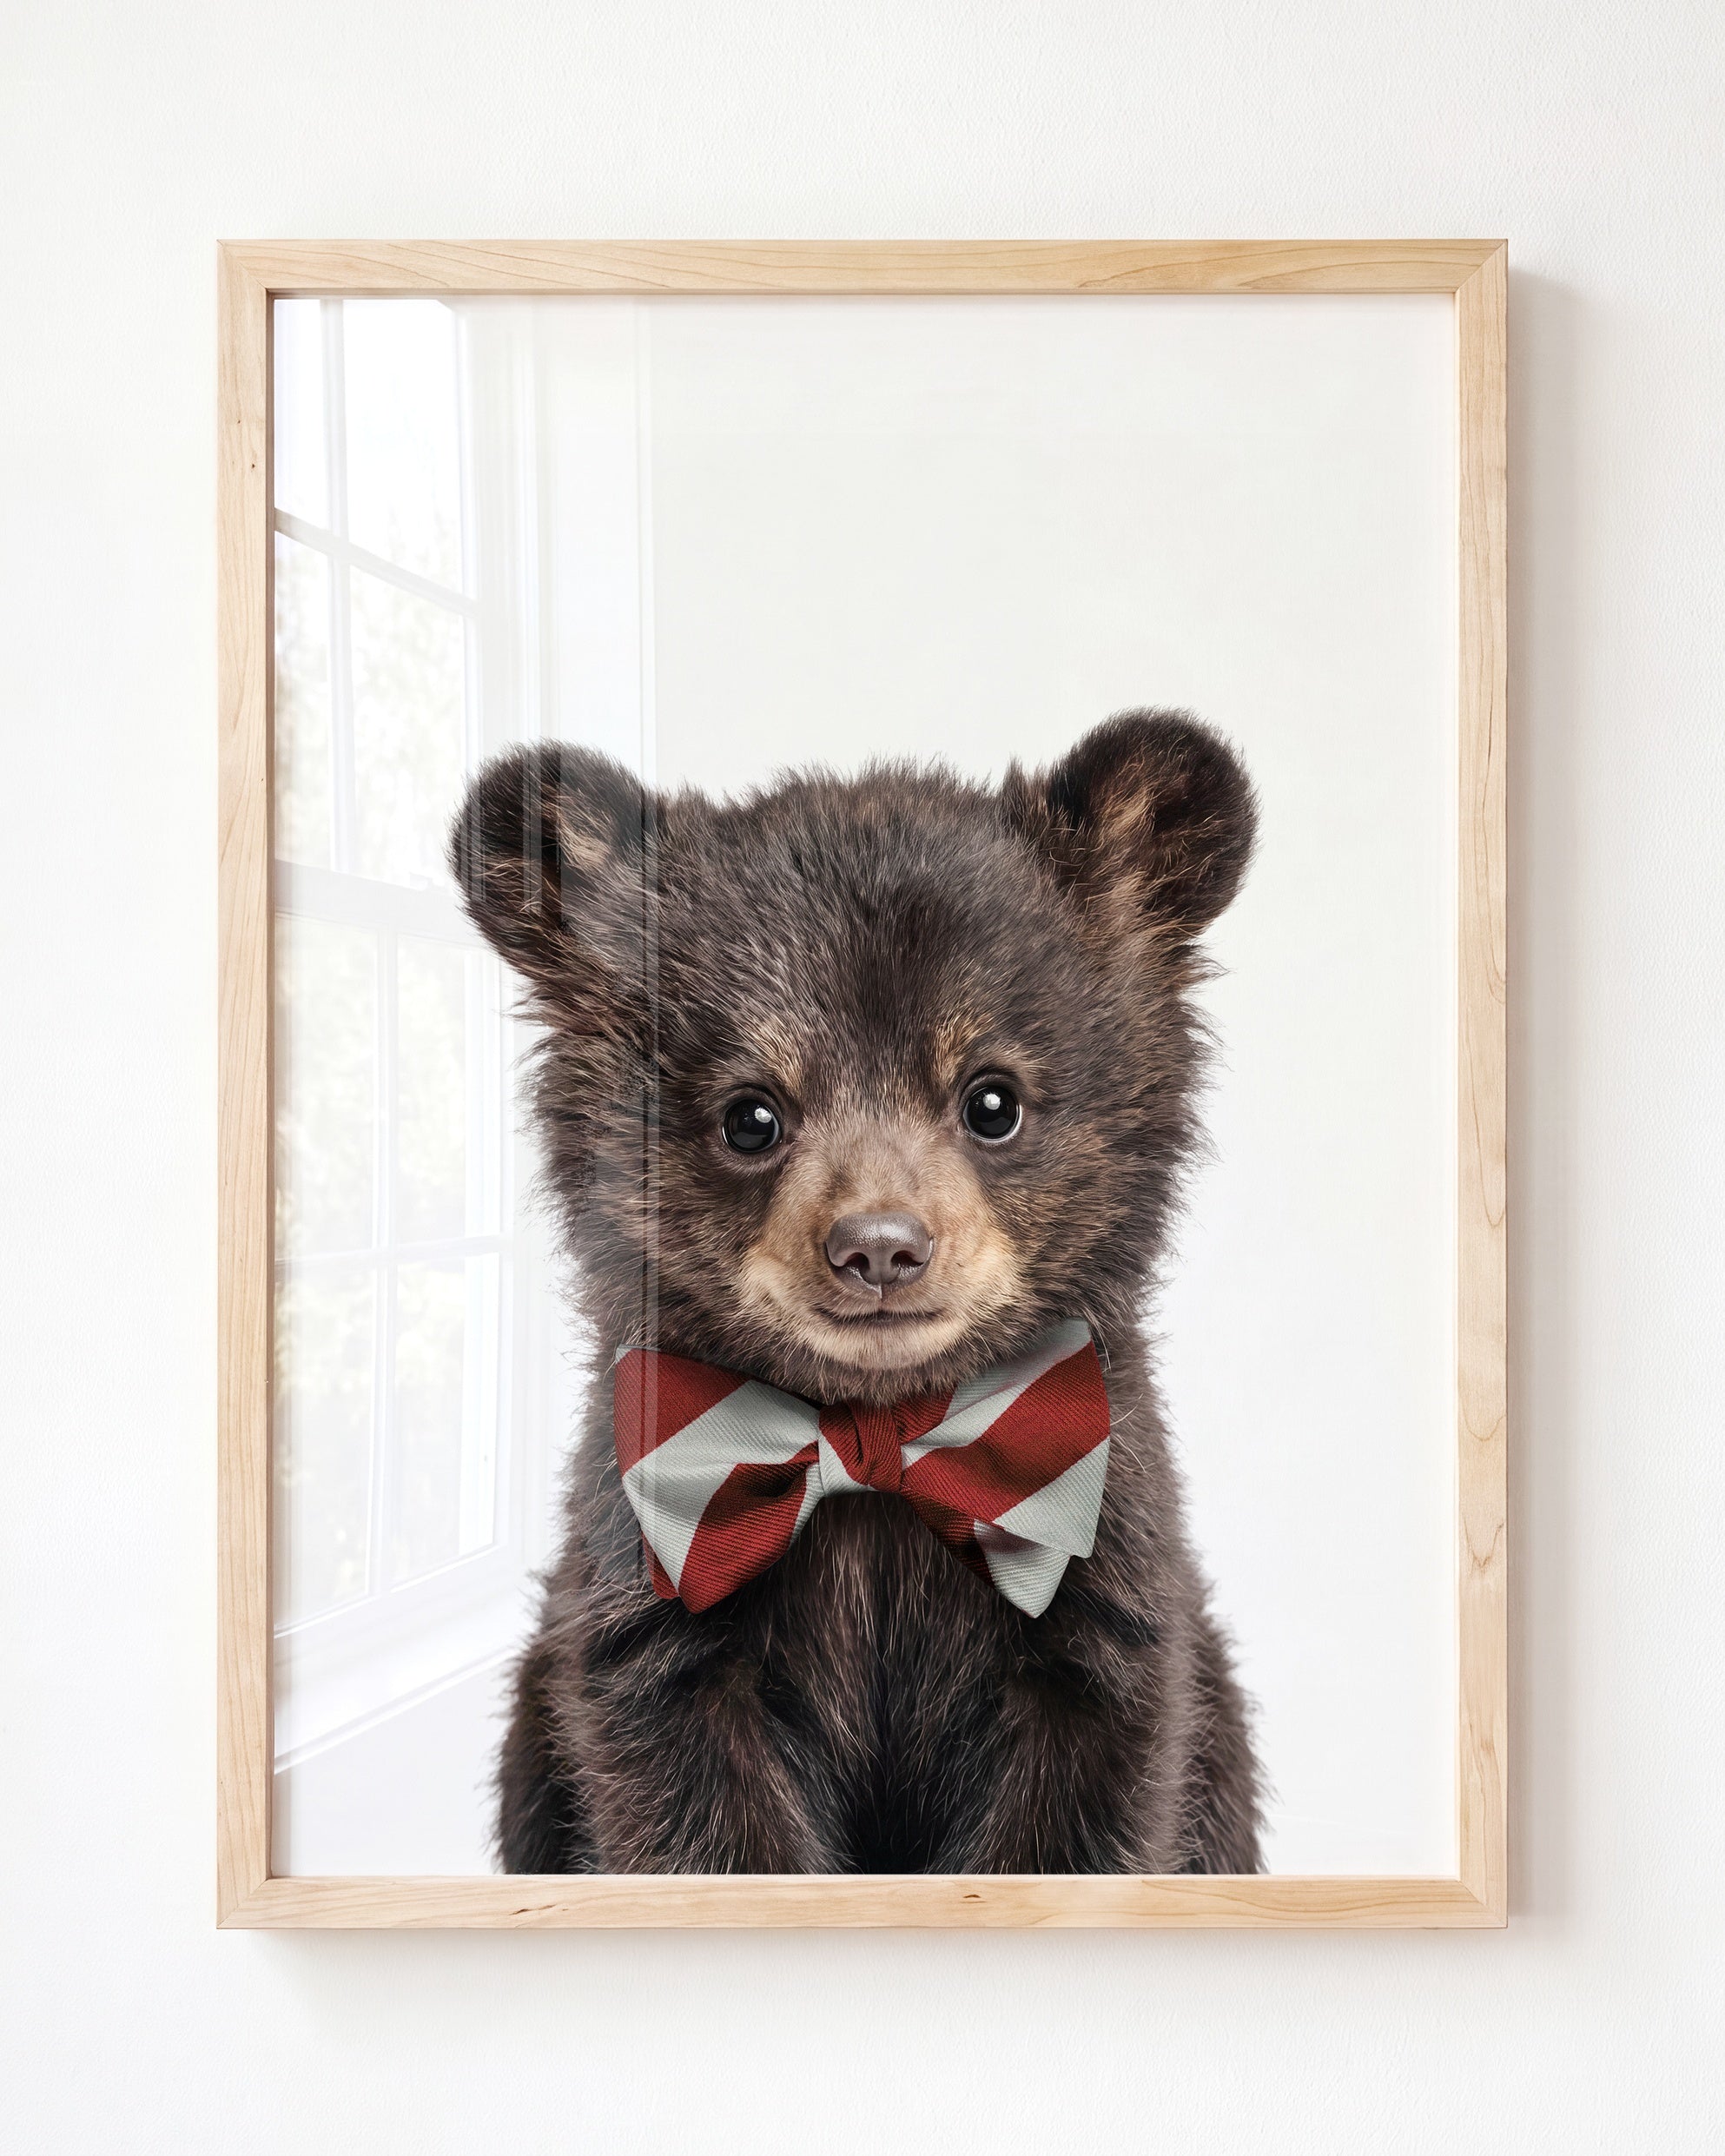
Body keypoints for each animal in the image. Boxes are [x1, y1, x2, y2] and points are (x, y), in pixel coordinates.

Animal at [450, 708, 1264, 1874]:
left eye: (993, 1099)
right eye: (750, 1115)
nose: (879, 1248)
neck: (880, 1446)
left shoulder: (1102, 1585)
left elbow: (1084, 1809)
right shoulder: (651, 1603)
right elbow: (694, 1810)